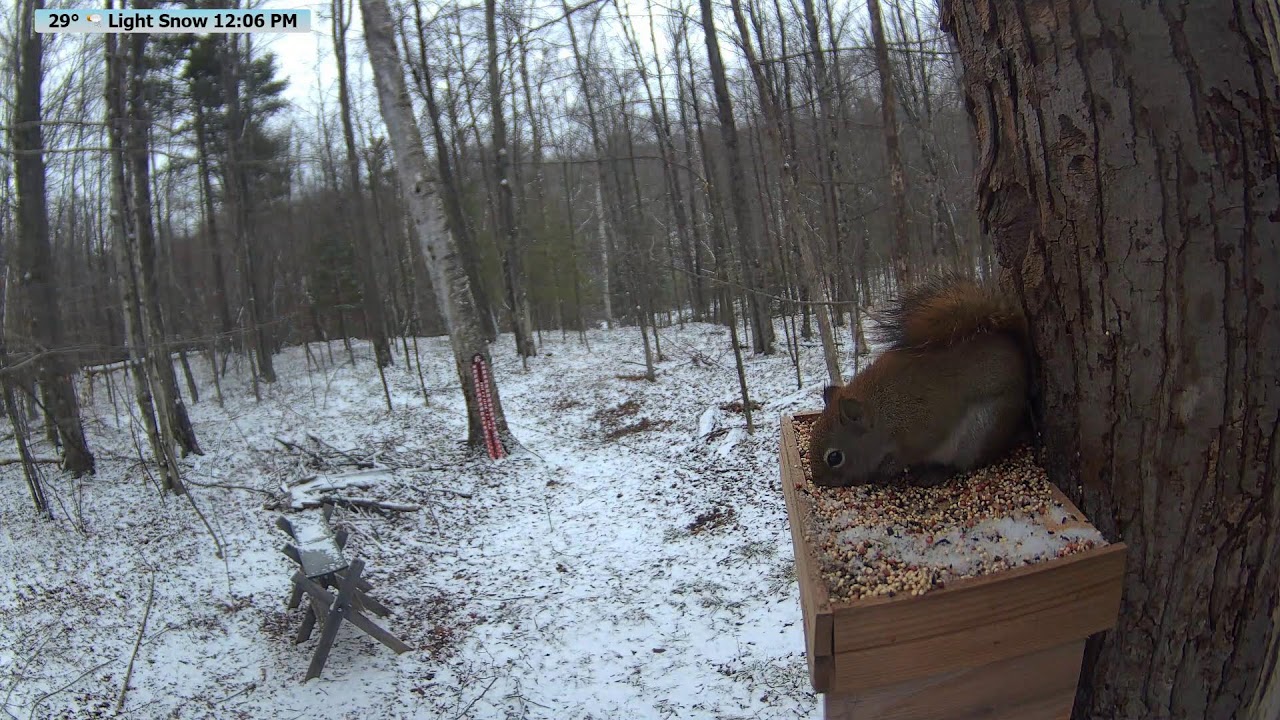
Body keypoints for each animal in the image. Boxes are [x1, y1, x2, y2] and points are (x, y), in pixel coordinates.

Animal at [807, 273, 1033, 488]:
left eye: (834, 457)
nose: (819, 481)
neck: (884, 413)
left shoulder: (923, 427)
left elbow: (913, 451)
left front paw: (885, 470)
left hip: (980, 434)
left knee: (963, 464)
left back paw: (934, 473)